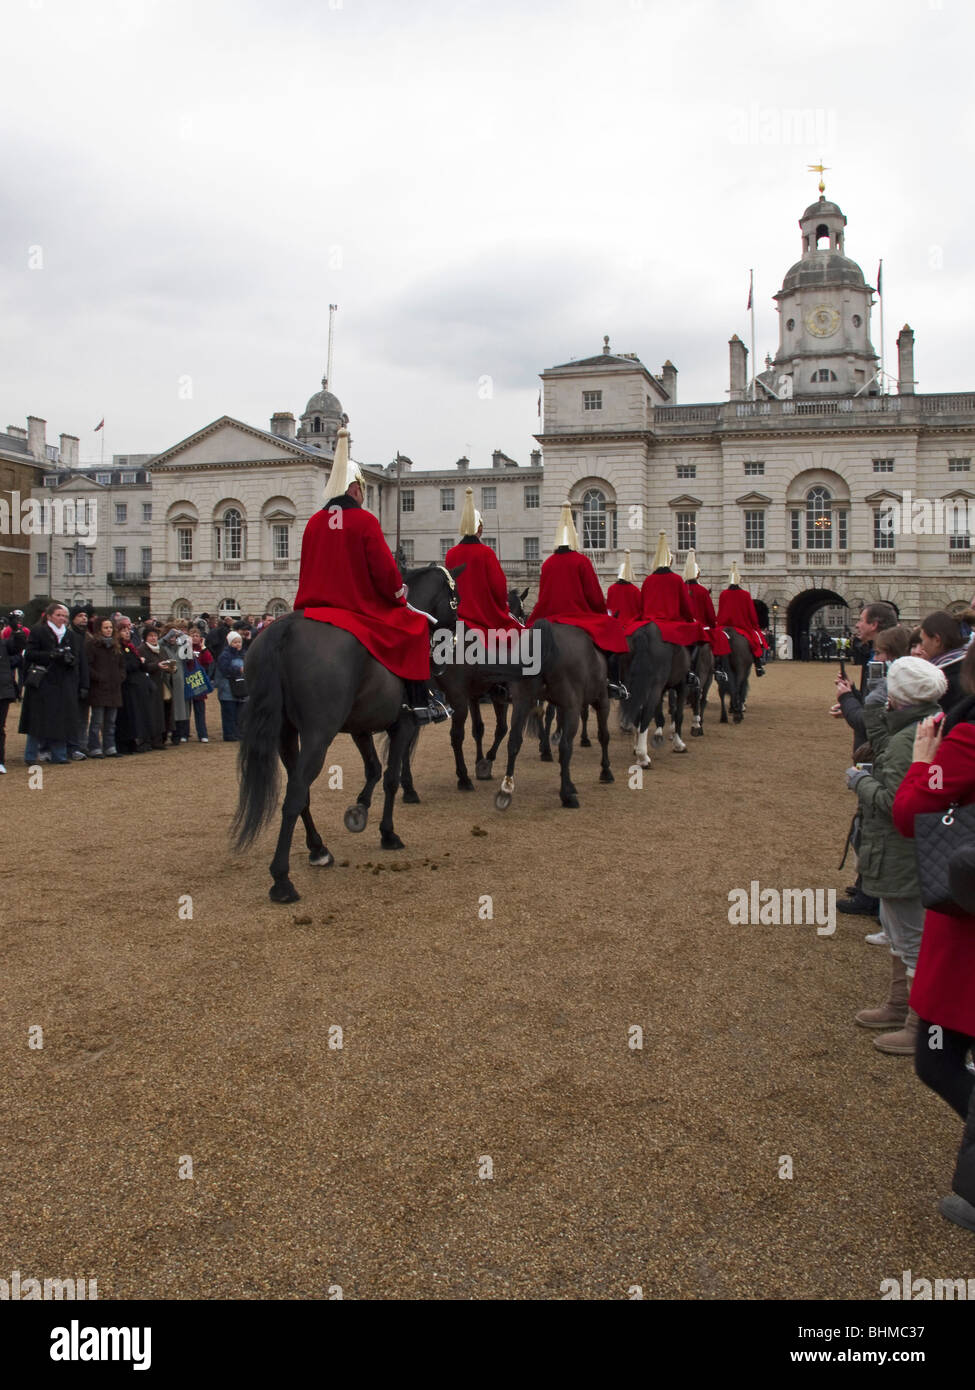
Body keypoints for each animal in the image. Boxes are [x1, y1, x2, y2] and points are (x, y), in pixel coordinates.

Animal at [236, 564, 464, 900]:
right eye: (455, 600)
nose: (452, 644)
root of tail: (284, 627)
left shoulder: (361, 728)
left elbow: (374, 769)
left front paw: (359, 810)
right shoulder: (403, 725)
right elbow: (391, 778)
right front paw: (388, 833)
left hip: (286, 735)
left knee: (300, 791)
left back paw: (318, 849)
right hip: (318, 735)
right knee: (296, 793)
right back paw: (282, 880)